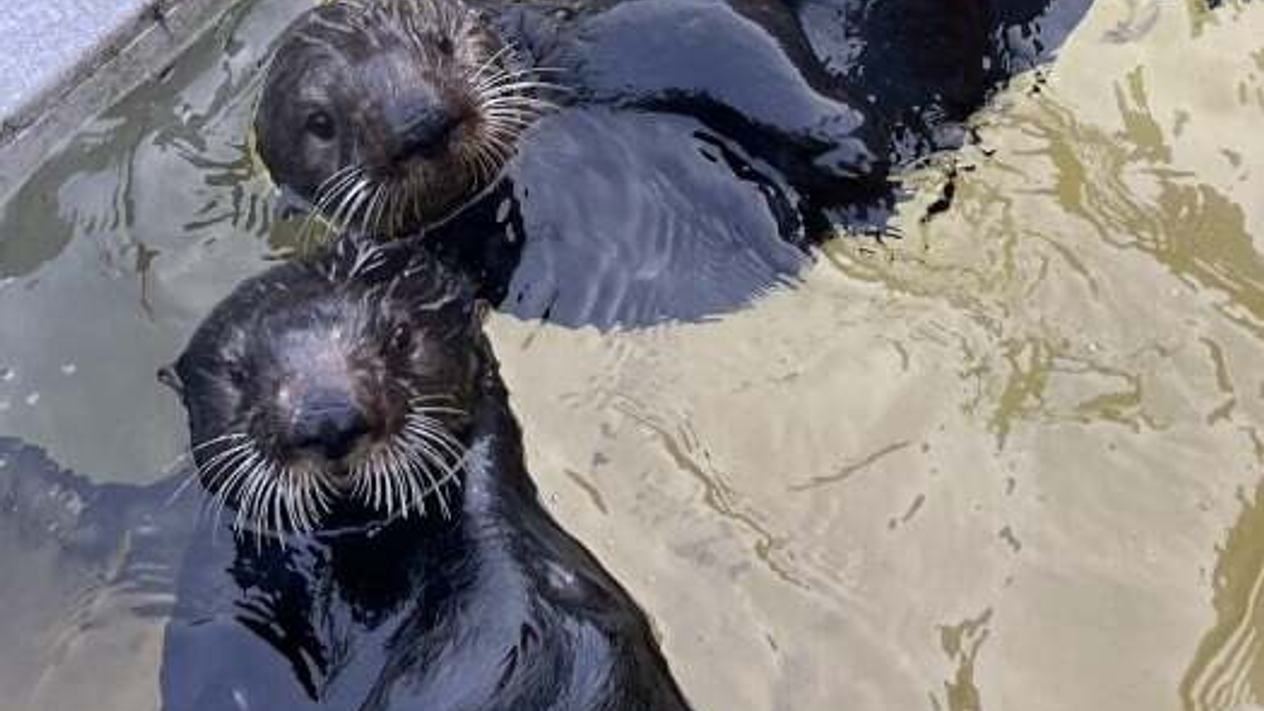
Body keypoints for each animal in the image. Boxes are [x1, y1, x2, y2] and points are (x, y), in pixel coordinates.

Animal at [255, 0, 1093, 327]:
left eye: (440, 44)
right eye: (321, 122)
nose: (422, 121)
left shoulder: (604, 29)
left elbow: (731, 37)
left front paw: (841, 133)